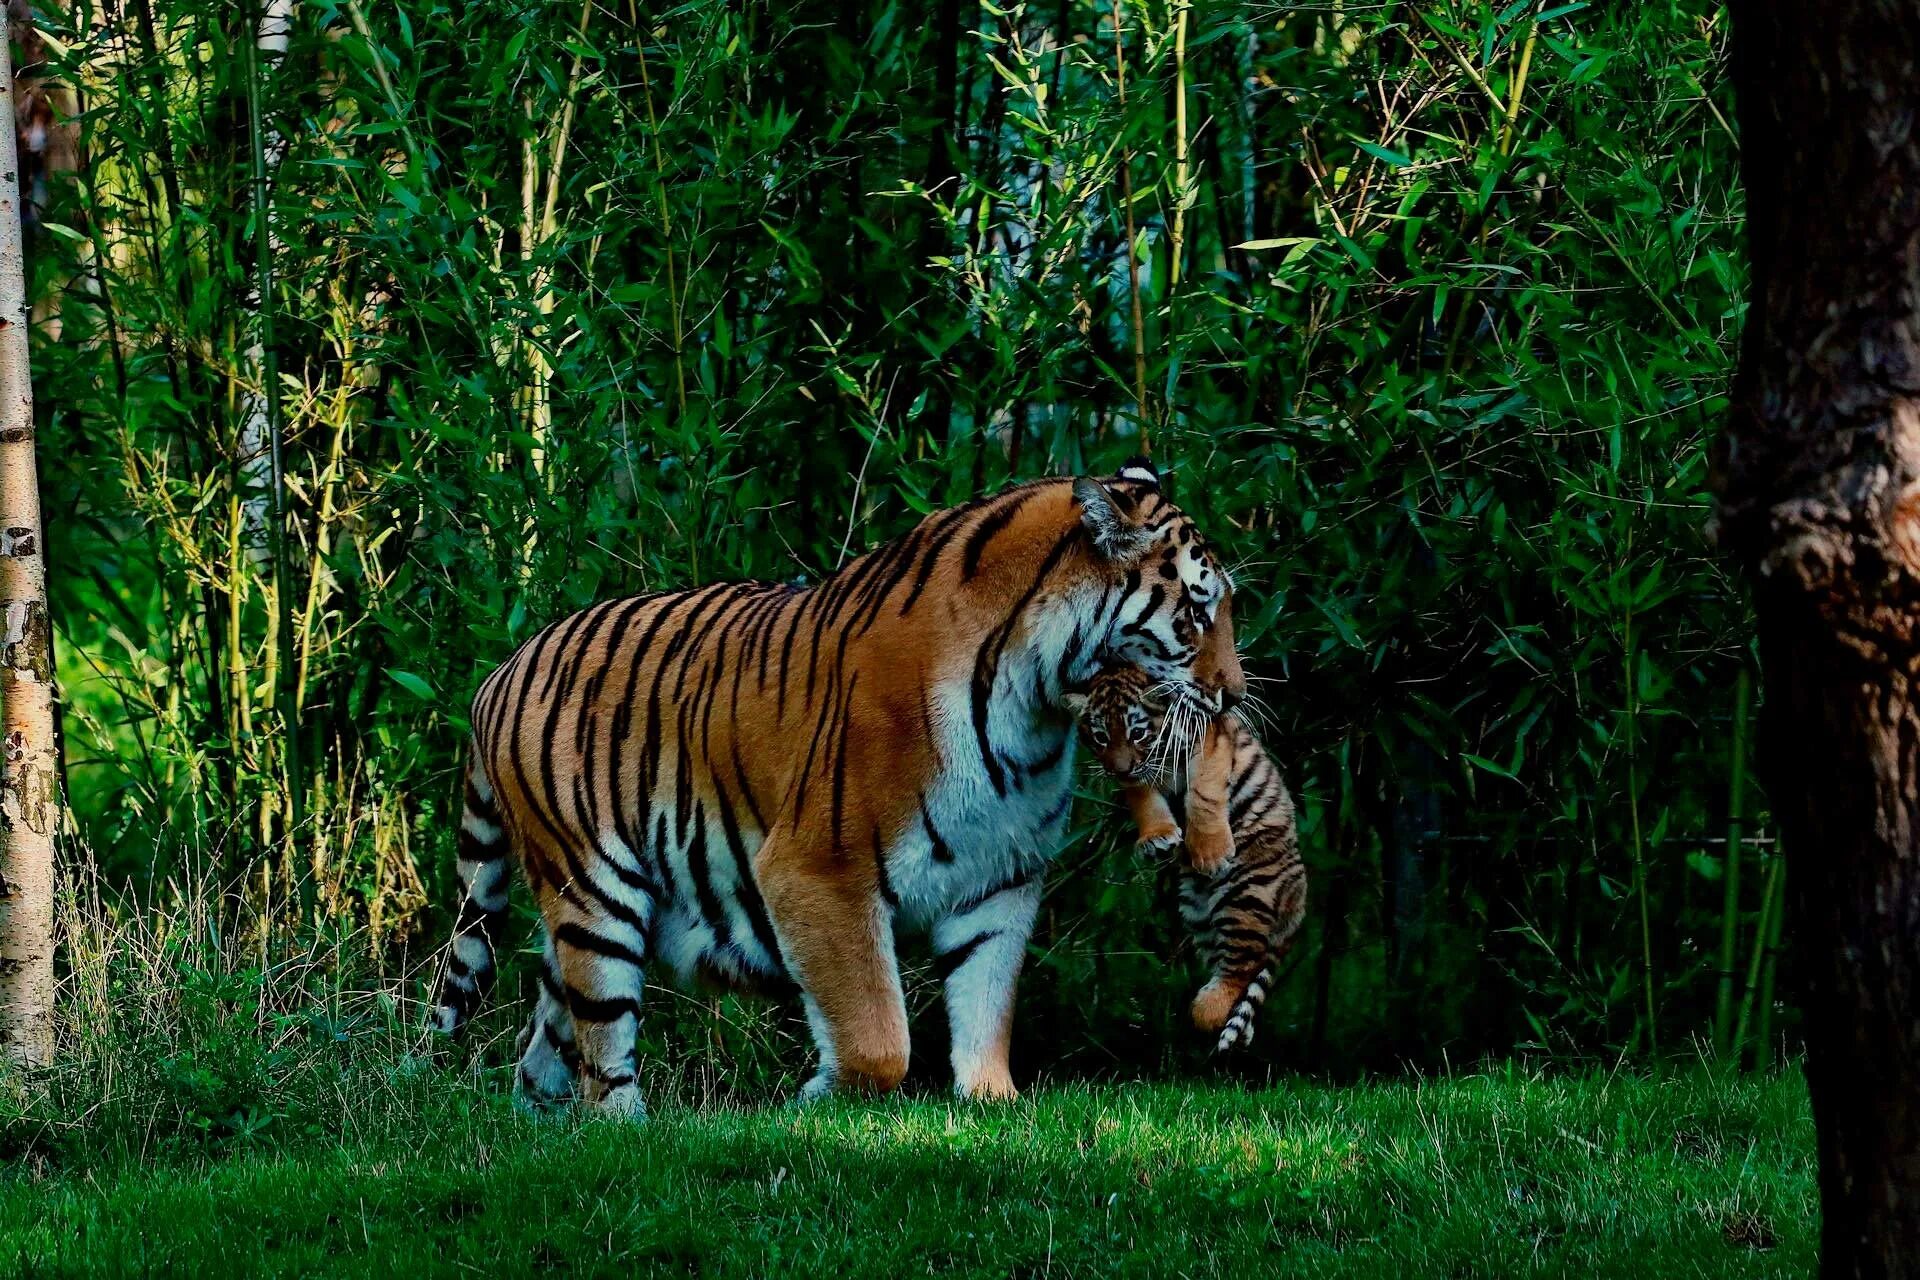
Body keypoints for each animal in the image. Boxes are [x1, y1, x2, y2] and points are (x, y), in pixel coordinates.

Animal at [430, 458, 1244, 1113]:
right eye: (1197, 610)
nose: (1234, 695)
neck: (1034, 702)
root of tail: (499, 672)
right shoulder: (820, 871)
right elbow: (877, 1036)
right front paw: (819, 1098)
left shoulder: (1000, 877)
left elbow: (986, 1003)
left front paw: (992, 1102)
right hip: (595, 894)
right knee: (603, 1050)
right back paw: (627, 1127)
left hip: (581, 921)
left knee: (542, 1046)